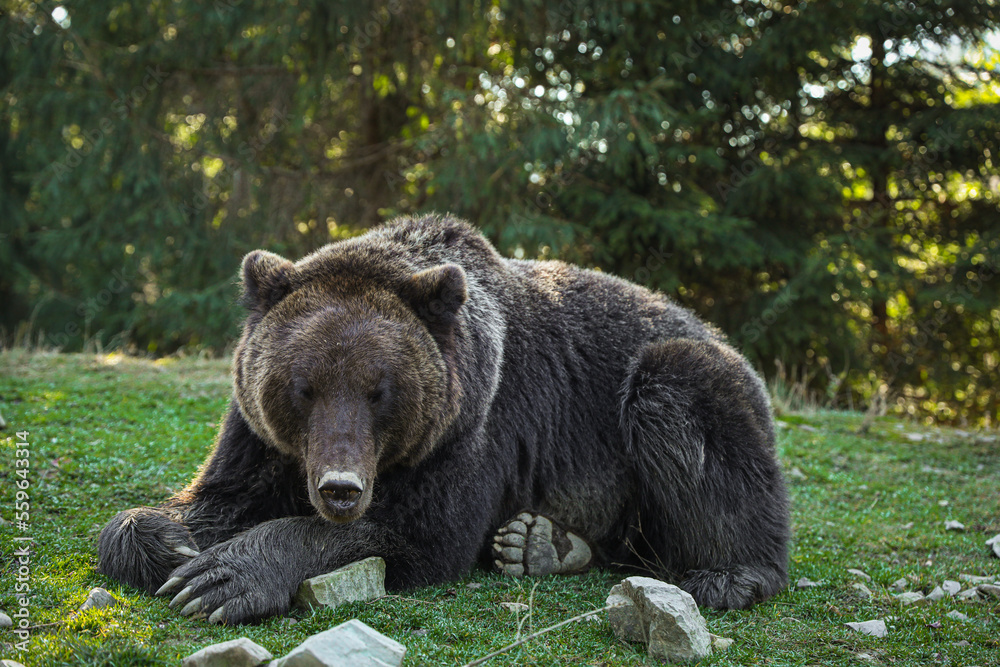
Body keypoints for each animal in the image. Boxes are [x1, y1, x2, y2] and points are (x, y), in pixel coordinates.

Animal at [98, 214, 789, 625]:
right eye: (304, 387)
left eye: (380, 390)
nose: (340, 489)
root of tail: (713, 327)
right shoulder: (260, 438)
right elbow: (212, 498)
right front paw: (169, 542)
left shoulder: (477, 427)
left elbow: (421, 530)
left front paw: (225, 577)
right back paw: (543, 544)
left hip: (668, 389)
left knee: (684, 409)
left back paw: (729, 574)